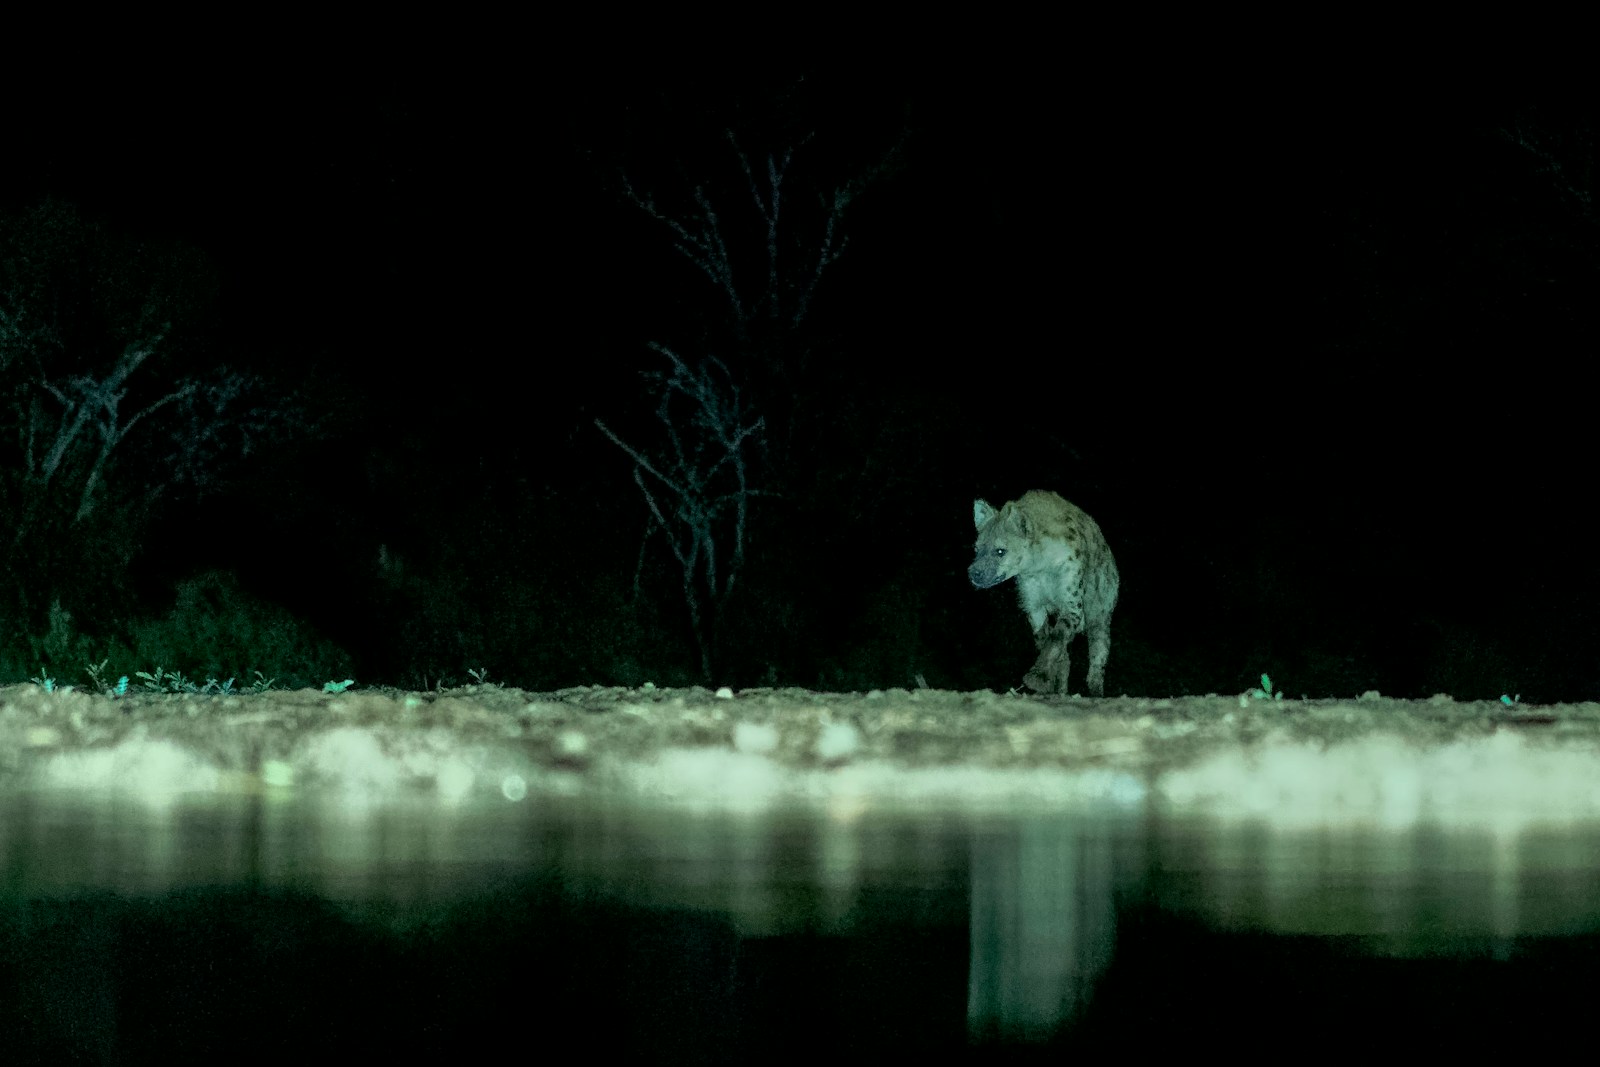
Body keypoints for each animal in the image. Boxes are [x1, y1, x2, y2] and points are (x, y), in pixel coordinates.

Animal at [969, 490, 1120, 697]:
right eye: (977, 549)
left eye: (1000, 551)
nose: (973, 572)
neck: (1040, 566)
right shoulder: (1033, 602)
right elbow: (1045, 639)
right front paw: (1046, 684)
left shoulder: (1072, 603)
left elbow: (1055, 638)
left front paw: (1037, 678)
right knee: (1066, 657)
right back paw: (1060, 691)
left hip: (1101, 606)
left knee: (1099, 649)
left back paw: (1096, 691)